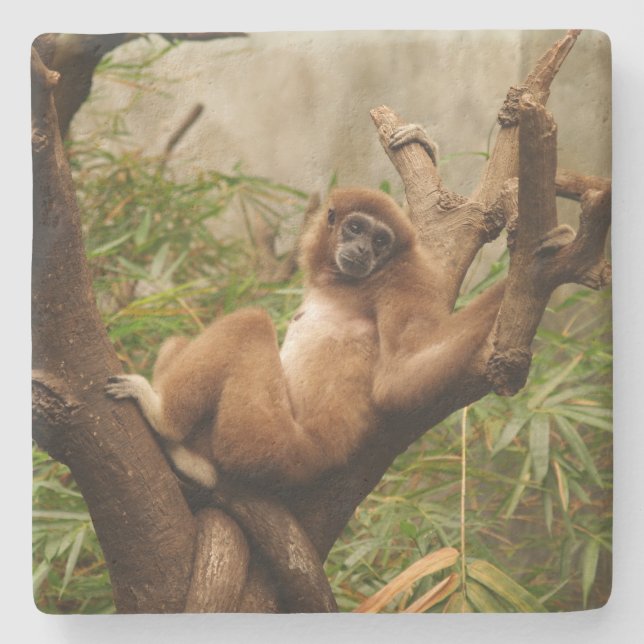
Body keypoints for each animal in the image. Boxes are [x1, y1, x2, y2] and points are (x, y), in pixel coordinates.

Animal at [106, 186, 503, 489]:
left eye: (380, 240)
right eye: (355, 228)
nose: (364, 249)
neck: (349, 284)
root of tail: (315, 456)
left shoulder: (407, 277)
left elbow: (400, 377)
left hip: (264, 440)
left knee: (250, 323)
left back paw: (164, 421)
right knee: (181, 342)